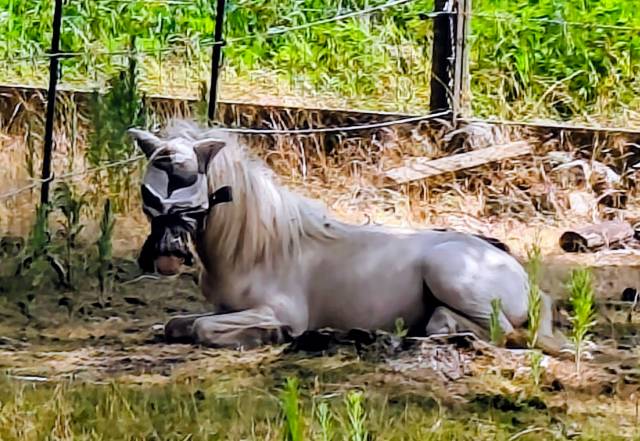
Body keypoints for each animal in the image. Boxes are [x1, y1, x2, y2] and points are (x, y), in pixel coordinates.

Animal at [128, 120, 568, 354]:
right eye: (148, 194)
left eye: (193, 196)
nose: (165, 257)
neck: (260, 249)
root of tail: (523, 278)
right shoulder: (220, 309)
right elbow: (178, 325)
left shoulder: (279, 309)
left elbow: (203, 330)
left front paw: (274, 335)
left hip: (448, 271)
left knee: (505, 331)